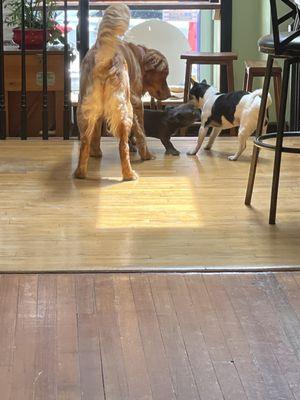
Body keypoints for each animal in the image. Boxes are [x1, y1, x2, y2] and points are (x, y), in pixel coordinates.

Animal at [74, 3, 171, 180]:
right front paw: (141, 150)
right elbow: (140, 131)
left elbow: (96, 135)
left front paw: (96, 152)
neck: (139, 56)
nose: (168, 95)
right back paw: (131, 172)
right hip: (125, 107)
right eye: (164, 74)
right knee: (123, 145)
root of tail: (104, 54)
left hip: (85, 109)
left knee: (85, 141)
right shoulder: (137, 101)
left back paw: (81, 172)